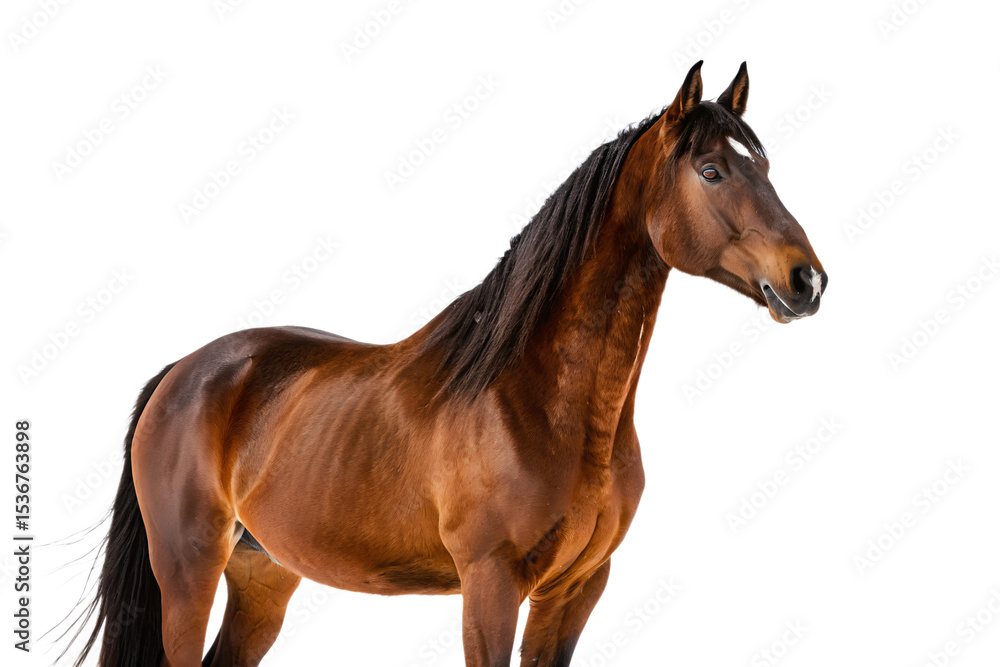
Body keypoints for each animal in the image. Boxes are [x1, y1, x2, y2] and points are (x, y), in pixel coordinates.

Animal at [70, 60, 827, 666]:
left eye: (764, 168)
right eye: (711, 171)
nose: (807, 281)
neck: (545, 405)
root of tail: (182, 371)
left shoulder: (575, 591)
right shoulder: (490, 586)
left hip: (264, 576)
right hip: (188, 572)